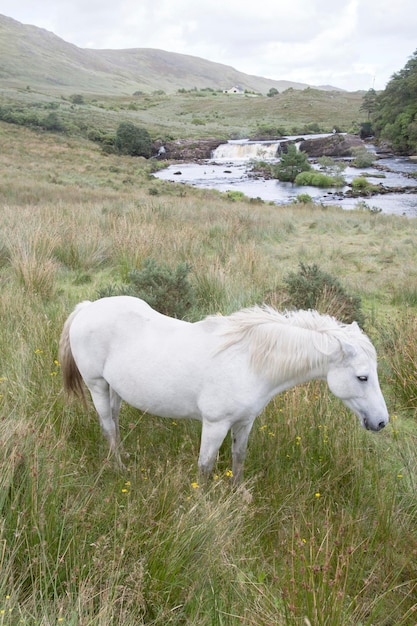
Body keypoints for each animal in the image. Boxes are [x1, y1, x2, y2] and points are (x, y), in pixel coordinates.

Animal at [57, 294, 386, 480]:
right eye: (363, 377)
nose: (382, 422)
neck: (249, 362)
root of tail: (87, 308)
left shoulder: (245, 422)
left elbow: (239, 458)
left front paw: (239, 494)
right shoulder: (215, 424)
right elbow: (206, 466)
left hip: (115, 388)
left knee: (114, 419)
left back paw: (124, 456)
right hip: (97, 385)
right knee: (107, 425)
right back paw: (119, 467)